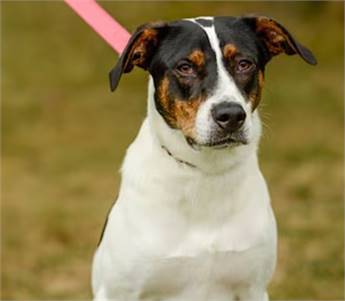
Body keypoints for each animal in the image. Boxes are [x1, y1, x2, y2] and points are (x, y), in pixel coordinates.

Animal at [90, 16, 314, 300]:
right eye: (185, 67)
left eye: (244, 63)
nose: (231, 116)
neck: (206, 174)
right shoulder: (118, 291)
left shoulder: (253, 287)